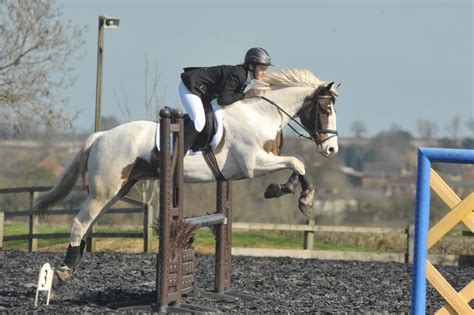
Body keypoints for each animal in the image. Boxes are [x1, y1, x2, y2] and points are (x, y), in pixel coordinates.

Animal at [36, 69, 340, 288]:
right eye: (325, 111)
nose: (331, 150)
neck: (261, 114)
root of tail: (100, 136)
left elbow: (297, 165)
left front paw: (285, 190)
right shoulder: (254, 163)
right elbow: (298, 161)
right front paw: (300, 197)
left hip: (117, 190)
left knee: (89, 224)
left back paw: (68, 269)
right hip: (104, 191)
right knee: (80, 222)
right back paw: (63, 272)